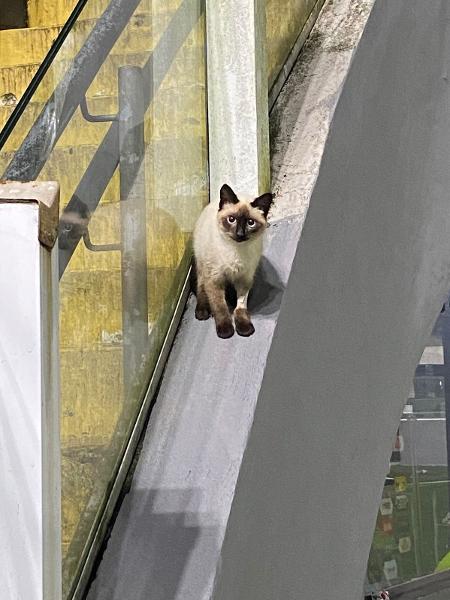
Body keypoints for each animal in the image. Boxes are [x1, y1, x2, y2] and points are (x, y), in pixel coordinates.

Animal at [192, 183, 272, 338]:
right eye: (231, 219)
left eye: (250, 223)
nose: (240, 234)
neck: (235, 251)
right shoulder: (214, 279)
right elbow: (220, 307)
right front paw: (226, 331)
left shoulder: (244, 280)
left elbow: (240, 307)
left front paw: (244, 328)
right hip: (202, 265)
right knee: (201, 286)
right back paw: (202, 312)